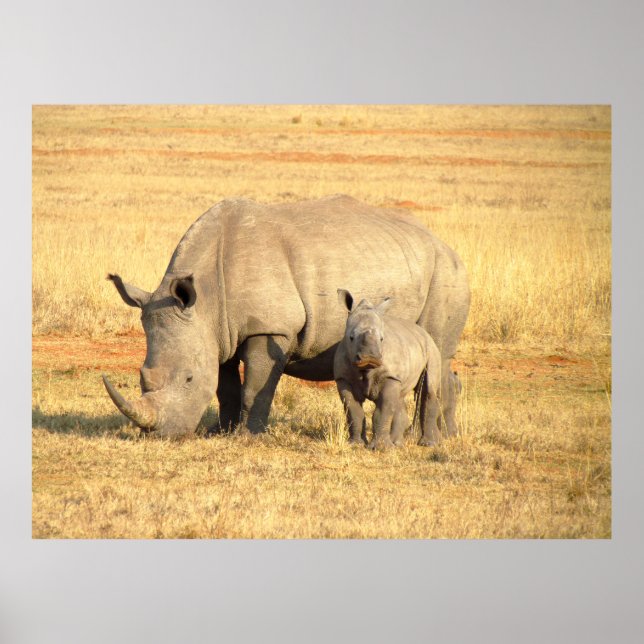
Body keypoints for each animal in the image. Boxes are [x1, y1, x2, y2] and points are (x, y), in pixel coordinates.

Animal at [334, 290, 443, 449]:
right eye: (351, 337)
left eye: (381, 339)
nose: (370, 357)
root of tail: (423, 332)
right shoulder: (343, 378)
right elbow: (353, 411)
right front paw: (355, 445)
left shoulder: (390, 376)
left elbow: (383, 410)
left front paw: (381, 448)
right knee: (399, 398)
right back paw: (398, 444)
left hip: (432, 350)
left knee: (428, 389)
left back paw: (428, 444)